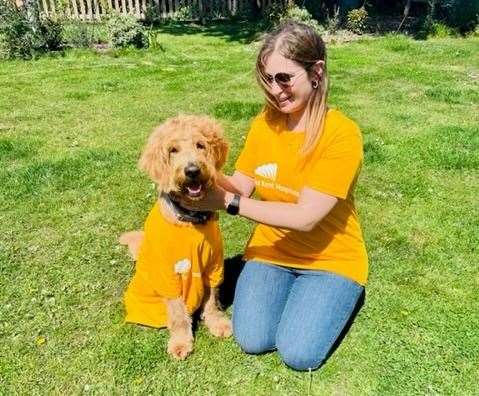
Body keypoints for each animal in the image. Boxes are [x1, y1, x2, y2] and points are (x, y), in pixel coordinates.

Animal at [120, 113, 232, 358]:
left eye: (200, 145)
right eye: (173, 150)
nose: (192, 170)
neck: (191, 219)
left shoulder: (213, 265)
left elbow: (212, 299)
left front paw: (217, 323)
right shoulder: (168, 275)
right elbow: (179, 313)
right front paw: (180, 342)